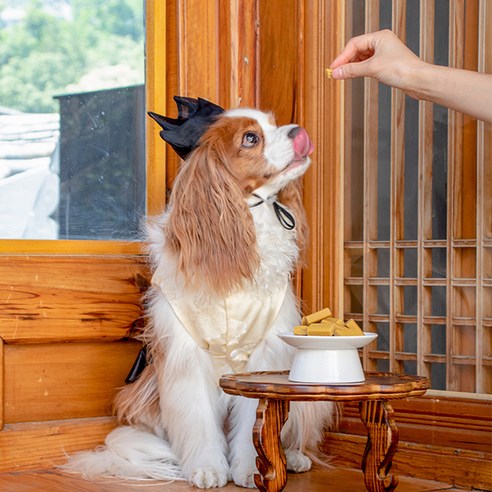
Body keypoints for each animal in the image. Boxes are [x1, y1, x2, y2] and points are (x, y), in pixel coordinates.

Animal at [63, 97, 336, 488]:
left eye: (274, 123)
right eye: (251, 138)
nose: (299, 131)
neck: (246, 228)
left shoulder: (263, 358)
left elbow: (254, 425)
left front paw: (250, 467)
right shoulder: (186, 357)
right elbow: (198, 422)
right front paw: (207, 468)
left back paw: (296, 456)